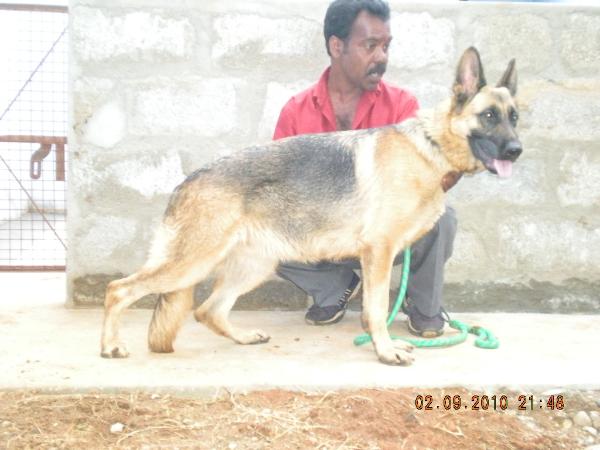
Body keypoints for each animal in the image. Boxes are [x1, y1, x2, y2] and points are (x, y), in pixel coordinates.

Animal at [102, 47, 520, 366]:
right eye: (488, 116)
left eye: (515, 117)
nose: (517, 150)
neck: (430, 146)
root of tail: (187, 181)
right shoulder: (380, 252)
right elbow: (378, 308)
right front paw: (384, 351)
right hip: (192, 263)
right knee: (119, 289)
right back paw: (110, 346)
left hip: (254, 265)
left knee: (209, 310)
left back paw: (243, 337)